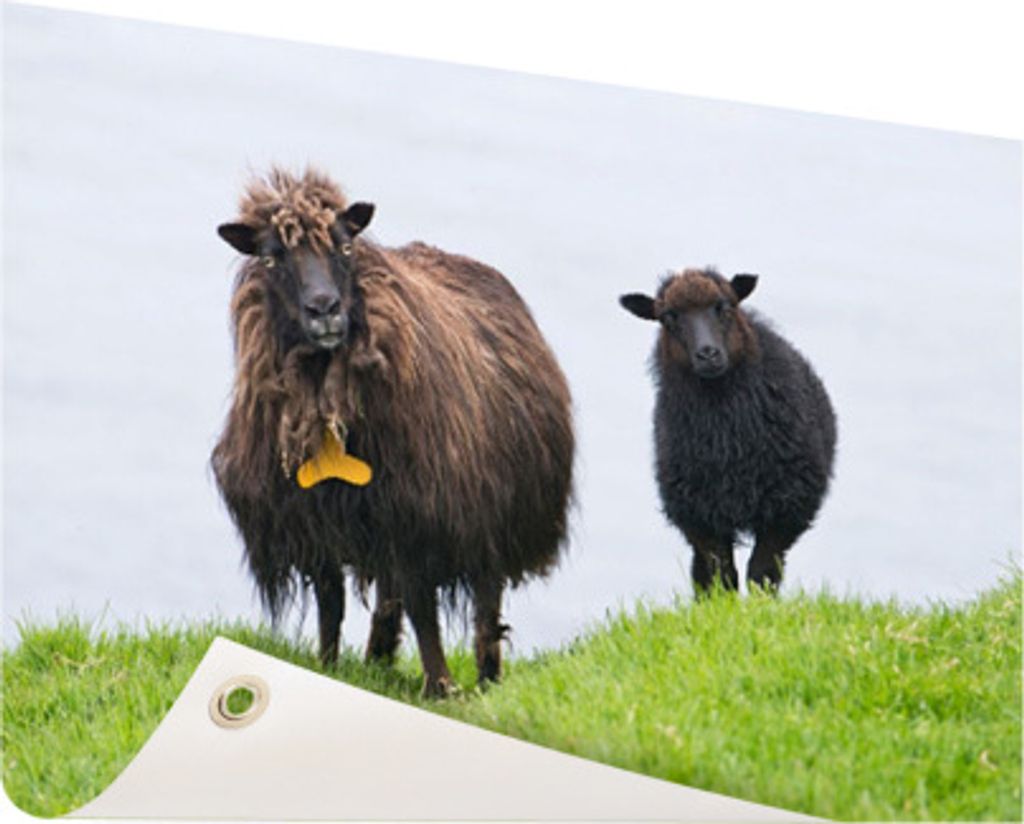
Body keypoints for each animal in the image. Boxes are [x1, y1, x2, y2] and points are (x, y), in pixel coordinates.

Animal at [212, 168, 574, 696]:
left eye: (345, 246)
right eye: (271, 256)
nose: (325, 308)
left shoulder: (421, 520)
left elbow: (425, 611)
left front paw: (441, 687)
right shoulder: (317, 524)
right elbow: (331, 606)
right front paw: (325, 670)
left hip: (492, 513)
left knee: (485, 608)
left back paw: (486, 678)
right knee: (388, 598)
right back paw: (378, 658)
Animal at [619, 268, 836, 595]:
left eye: (724, 306)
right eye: (668, 317)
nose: (707, 353)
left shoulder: (785, 508)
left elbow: (761, 572)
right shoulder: (700, 515)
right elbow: (720, 575)